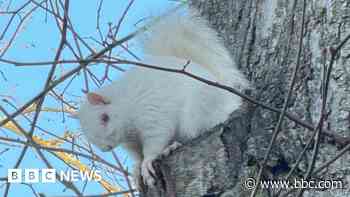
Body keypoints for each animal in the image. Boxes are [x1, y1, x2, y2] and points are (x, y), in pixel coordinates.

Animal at [78, 6, 249, 189]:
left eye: (105, 118)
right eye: (87, 134)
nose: (106, 148)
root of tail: (231, 99)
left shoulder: (153, 114)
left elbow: (156, 140)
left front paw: (148, 162)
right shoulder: (132, 142)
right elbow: (138, 154)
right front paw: (137, 168)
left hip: (199, 111)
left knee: (197, 131)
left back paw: (172, 146)